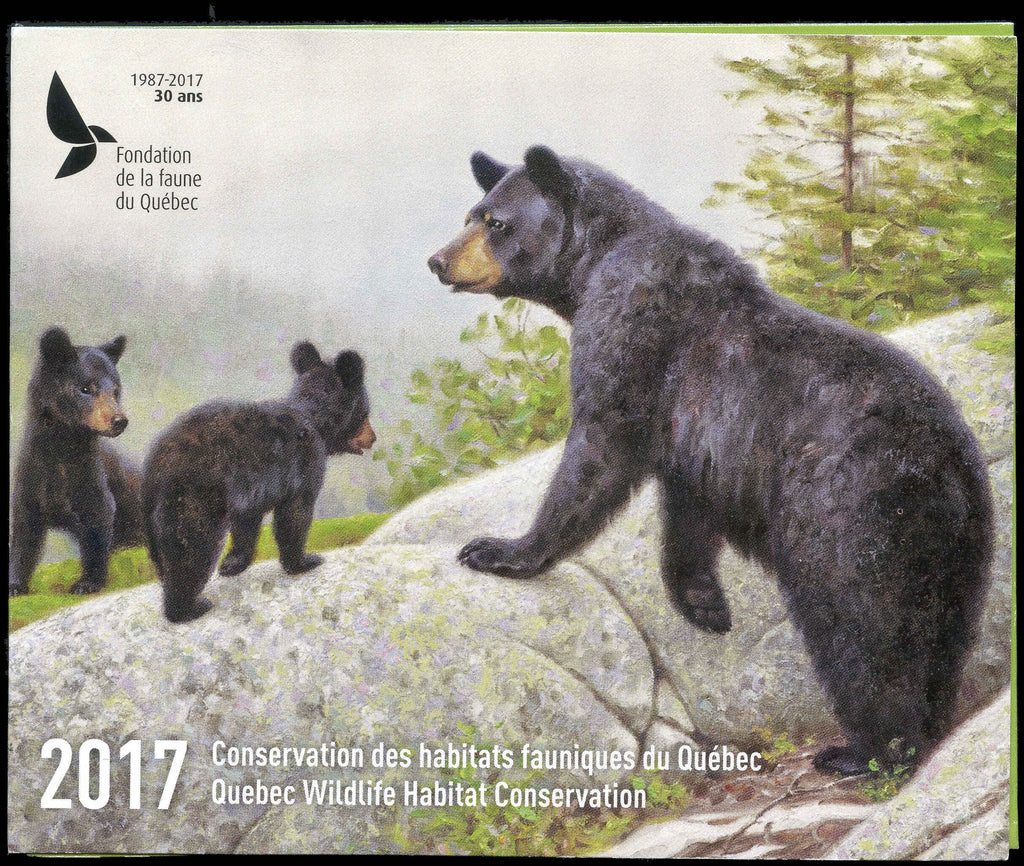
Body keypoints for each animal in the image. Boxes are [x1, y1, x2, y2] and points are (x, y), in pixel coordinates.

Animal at [9, 326, 145, 597]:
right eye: (85, 388)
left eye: (116, 390)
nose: (119, 420)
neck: (61, 451)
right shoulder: (31, 479)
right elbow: (24, 535)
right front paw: (15, 585)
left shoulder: (91, 479)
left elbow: (97, 525)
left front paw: (86, 583)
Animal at [141, 341, 375, 624]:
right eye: (366, 412)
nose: (373, 438)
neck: (314, 419)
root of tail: (154, 468)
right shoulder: (302, 464)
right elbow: (294, 513)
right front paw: (304, 561)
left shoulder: (251, 488)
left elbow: (247, 521)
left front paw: (233, 564)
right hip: (191, 498)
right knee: (191, 548)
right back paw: (188, 608)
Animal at [428, 145, 994, 776]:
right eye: (470, 214)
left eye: (496, 223)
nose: (438, 261)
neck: (600, 259)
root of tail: (940, 456)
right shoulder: (699, 435)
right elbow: (688, 509)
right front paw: (705, 607)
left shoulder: (631, 331)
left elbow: (600, 448)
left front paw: (502, 550)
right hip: (960, 540)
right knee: (945, 629)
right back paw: (933, 722)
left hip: (847, 508)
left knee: (858, 620)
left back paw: (868, 752)